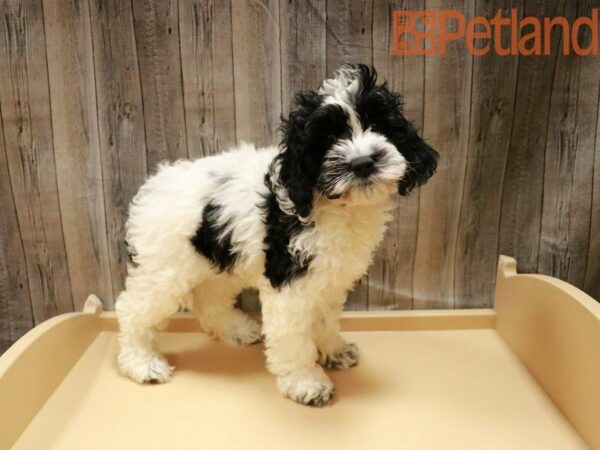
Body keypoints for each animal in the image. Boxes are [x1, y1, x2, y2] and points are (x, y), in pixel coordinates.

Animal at [116, 65, 436, 406]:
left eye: (378, 124)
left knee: (209, 298)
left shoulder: (326, 278)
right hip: (164, 269)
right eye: (327, 139)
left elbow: (323, 317)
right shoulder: (290, 282)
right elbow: (293, 336)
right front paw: (306, 382)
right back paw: (142, 363)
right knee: (133, 309)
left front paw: (334, 351)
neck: (328, 203)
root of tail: (155, 183)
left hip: (219, 258)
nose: (362, 163)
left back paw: (235, 329)